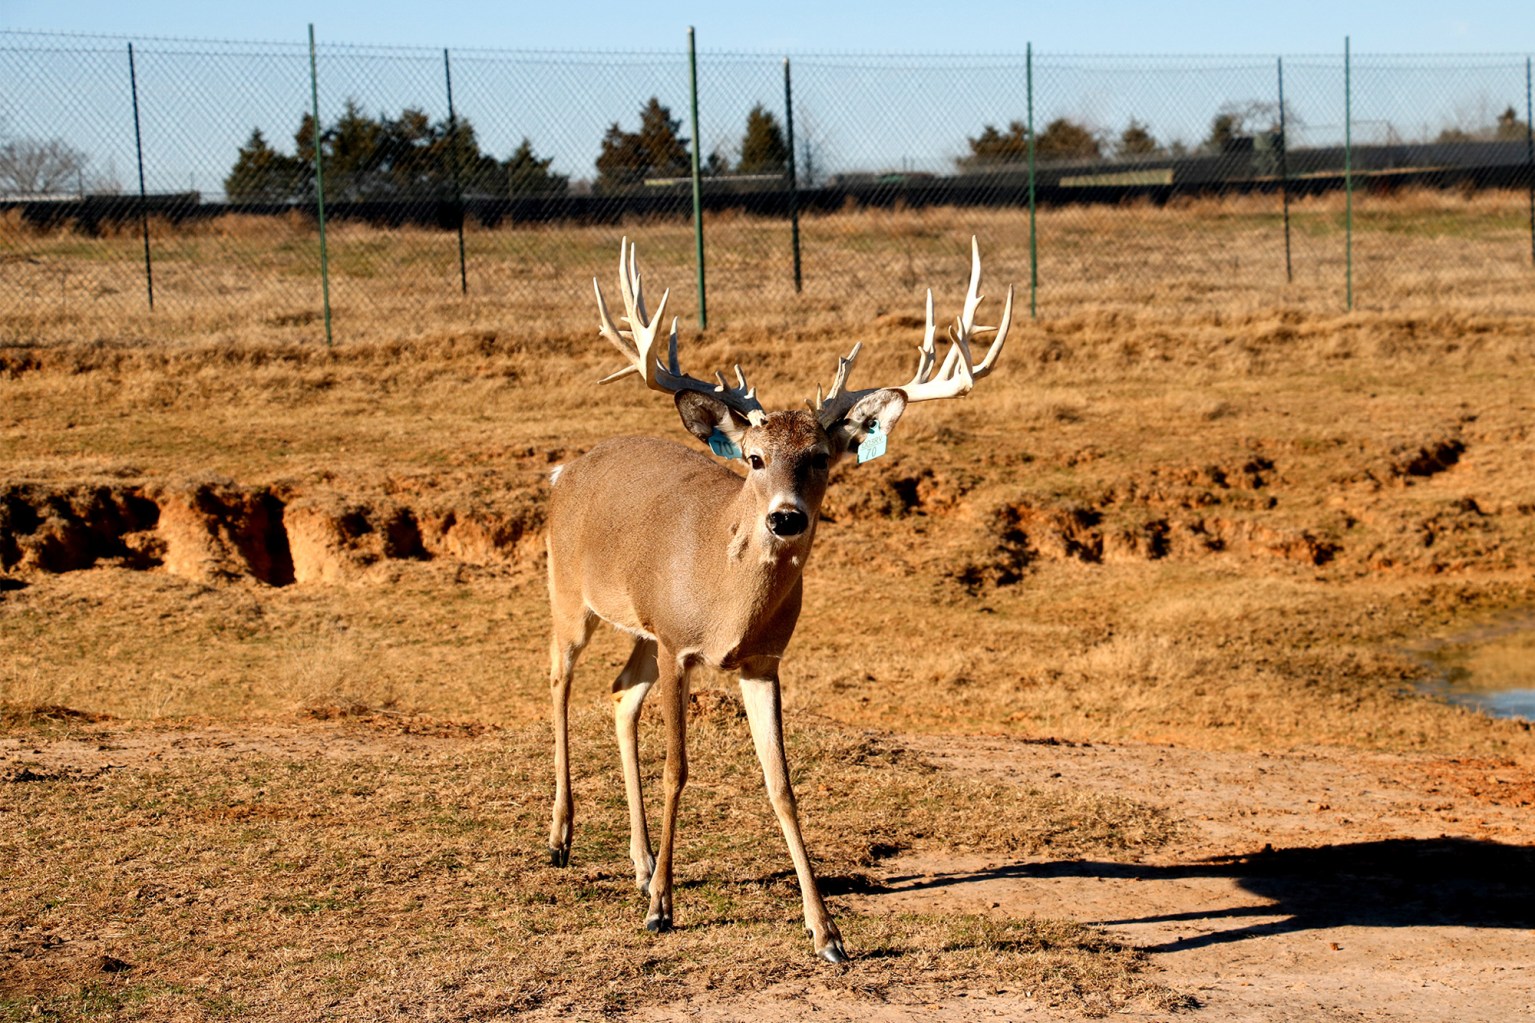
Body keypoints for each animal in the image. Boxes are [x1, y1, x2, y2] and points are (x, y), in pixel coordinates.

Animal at [545, 236, 1012, 962]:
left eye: (820, 456)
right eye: (755, 457)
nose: (786, 518)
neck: (724, 603)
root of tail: (566, 468)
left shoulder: (762, 661)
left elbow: (782, 784)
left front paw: (827, 932)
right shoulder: (679, 645)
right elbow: (678, 767)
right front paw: (661, 912)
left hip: (641, 630)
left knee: (620, 694)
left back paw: (642, 863)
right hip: (570, 595)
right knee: (557, 679)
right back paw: (561, 839)